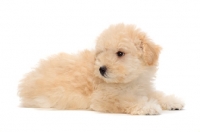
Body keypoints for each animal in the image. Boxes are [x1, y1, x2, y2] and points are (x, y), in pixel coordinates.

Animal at [18, 23, 184, 114]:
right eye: (101, 52)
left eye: (120, 53)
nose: (101, 69)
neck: (130, 81)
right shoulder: (105, 98)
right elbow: (126, 101)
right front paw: (148, 106)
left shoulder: (144, 88)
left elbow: (157, 94)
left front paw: (172, 102)